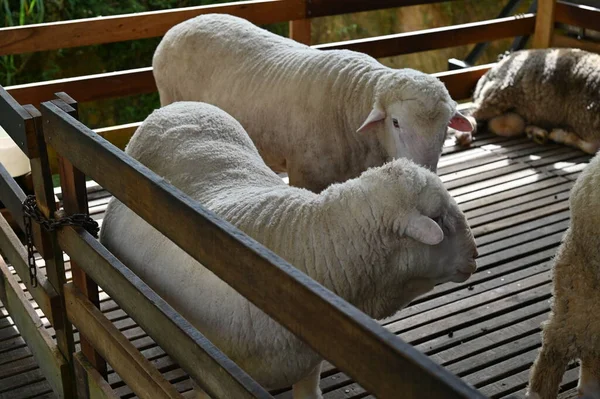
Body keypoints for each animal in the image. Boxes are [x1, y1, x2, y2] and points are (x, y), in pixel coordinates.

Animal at [464, 47, 600, 153]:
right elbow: (592, 147)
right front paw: (560, 135)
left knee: (503, 124)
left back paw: (537, 133)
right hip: (500, 92)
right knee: (475, 113)